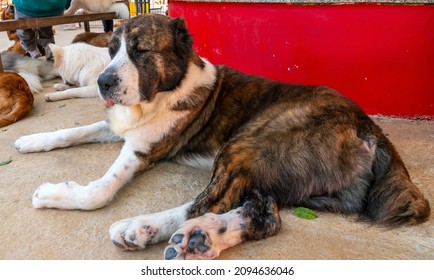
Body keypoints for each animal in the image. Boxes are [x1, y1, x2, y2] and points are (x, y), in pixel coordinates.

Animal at [15, 14, 428, 260]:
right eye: (112, 50)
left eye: (141, 51)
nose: (103, 83)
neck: (170, 87)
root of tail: (368, 127)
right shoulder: (126, 130)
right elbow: (75, 130)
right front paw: (31, 141)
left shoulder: (143, 149)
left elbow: (100, 191)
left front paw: (57, 195)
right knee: (262, 212)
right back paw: (206, 238)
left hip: (246, 144)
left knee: (210, 202)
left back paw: (143, 228)